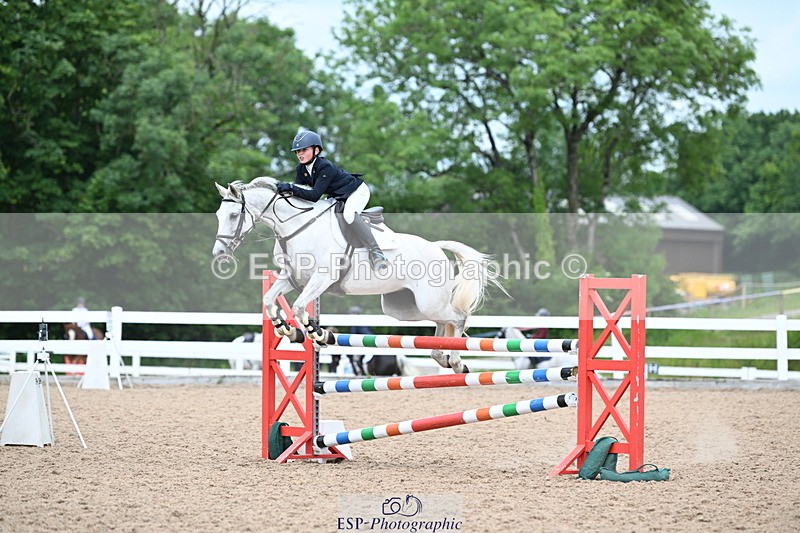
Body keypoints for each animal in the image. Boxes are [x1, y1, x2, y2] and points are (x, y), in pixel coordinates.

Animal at [212, 177, 506, 374]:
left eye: (234, 214)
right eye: (218, 214)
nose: (219, 252)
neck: (297, 227)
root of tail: (435, 247)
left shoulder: (321, 278)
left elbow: (298, 306)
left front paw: (317, 333)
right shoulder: (291, 278)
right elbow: (270, 300)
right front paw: (288, 330)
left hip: (428, 301)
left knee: (458, 318)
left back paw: (455, 361)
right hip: (406, 308)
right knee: (442, 323)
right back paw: (441, 356)